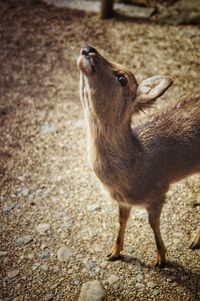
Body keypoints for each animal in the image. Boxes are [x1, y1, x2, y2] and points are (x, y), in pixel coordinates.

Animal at [77, 45, 200, 266]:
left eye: (122, 78)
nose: (88, 49)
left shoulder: (159, 190)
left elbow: (153, 224)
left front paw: (161, 259)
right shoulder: (122, 201)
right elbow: (121, 220)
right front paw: (114, 253)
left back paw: (195, 241)